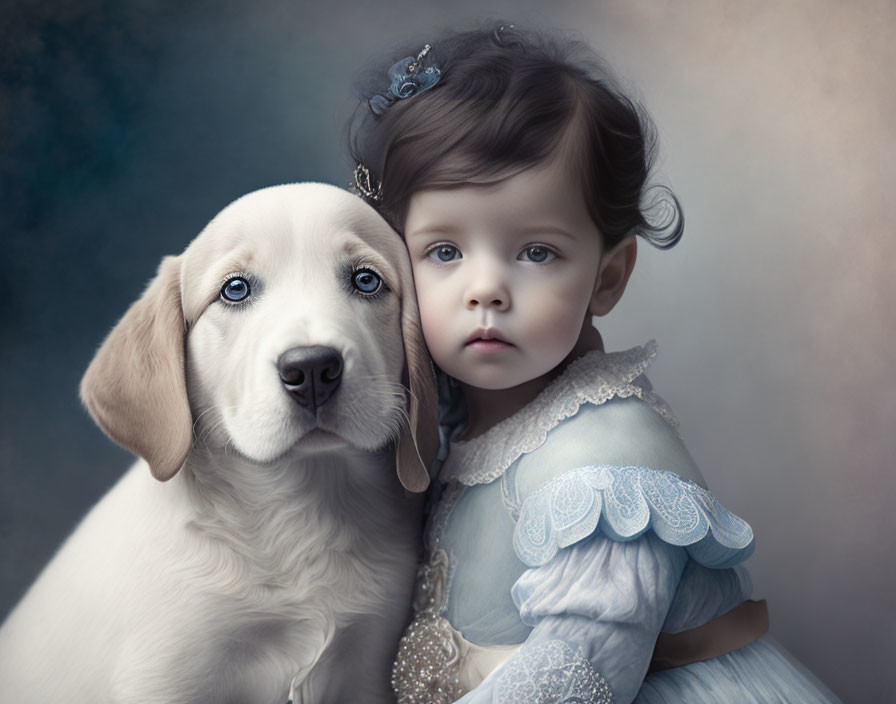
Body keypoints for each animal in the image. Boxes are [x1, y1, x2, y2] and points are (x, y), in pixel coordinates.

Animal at [0, 183, 438, 704]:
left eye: (367, 281)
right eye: (236, 290)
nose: (311, 369)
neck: (299, 512)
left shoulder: (366, 668)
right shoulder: (165, 678)